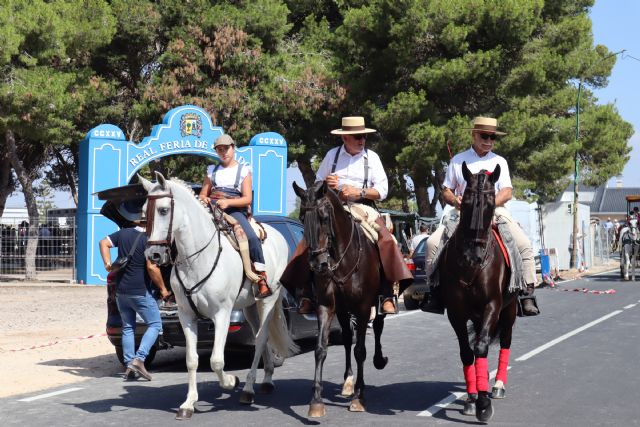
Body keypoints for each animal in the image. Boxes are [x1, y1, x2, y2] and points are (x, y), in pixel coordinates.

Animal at [139, 172, 298, 420]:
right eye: (145, 211)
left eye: (164, 210)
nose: (154, 254)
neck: (197, 259)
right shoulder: (186, 317)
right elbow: (192, 360)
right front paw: (188, 404)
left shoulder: (222, 315)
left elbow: (216, 361)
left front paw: (232, 381)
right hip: (249, 307)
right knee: (259, 337)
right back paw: (267, 379)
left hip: (267, 301)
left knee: (261, 338)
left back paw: (248, 389)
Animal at [296, 180, 390, 418]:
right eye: (302, 217)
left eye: (324, 217)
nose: (317, 263)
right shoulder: (326, 306)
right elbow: (321, 348)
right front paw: (316, 401)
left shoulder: (364, 307)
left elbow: (360, 351)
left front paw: (359, 397)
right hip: (343, 310)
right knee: (347, 337)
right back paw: (348, 381)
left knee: (377, 327)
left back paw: (377, 361)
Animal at [440, 162, 520, 422]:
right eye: (464, 201)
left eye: (490, 203)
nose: (472, 256)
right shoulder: (456, 311)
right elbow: (467, 353)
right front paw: (472, 398)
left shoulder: (492, 305)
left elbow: (482, 347)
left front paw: (484, 404)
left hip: (509, 311)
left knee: (505, 341)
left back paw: (497, 386)